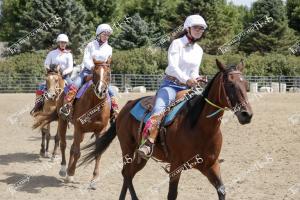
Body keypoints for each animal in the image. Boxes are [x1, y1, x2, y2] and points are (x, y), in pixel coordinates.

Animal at [32, 58, 111, 188]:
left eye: (108, 73)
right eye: (94, 73)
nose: (101, 90)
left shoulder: (100, 131)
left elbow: (97, 153)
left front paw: (94, 179)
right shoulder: (78, 128)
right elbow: (77, 152)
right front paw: (71, 173)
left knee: (71, 147)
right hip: (63, 121)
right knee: (63, 144)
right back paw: (63, 169)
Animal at [80, 58, 253, 199]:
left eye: (246, 85)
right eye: (230, 84)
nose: (247, 114)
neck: (200, 129)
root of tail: (127, 105)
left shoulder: (211, 165)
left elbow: (222, 190)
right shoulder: (176, 167)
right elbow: (172, 194)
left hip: (141, 157)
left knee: (128, 173)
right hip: (127, 148)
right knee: (127, 174)